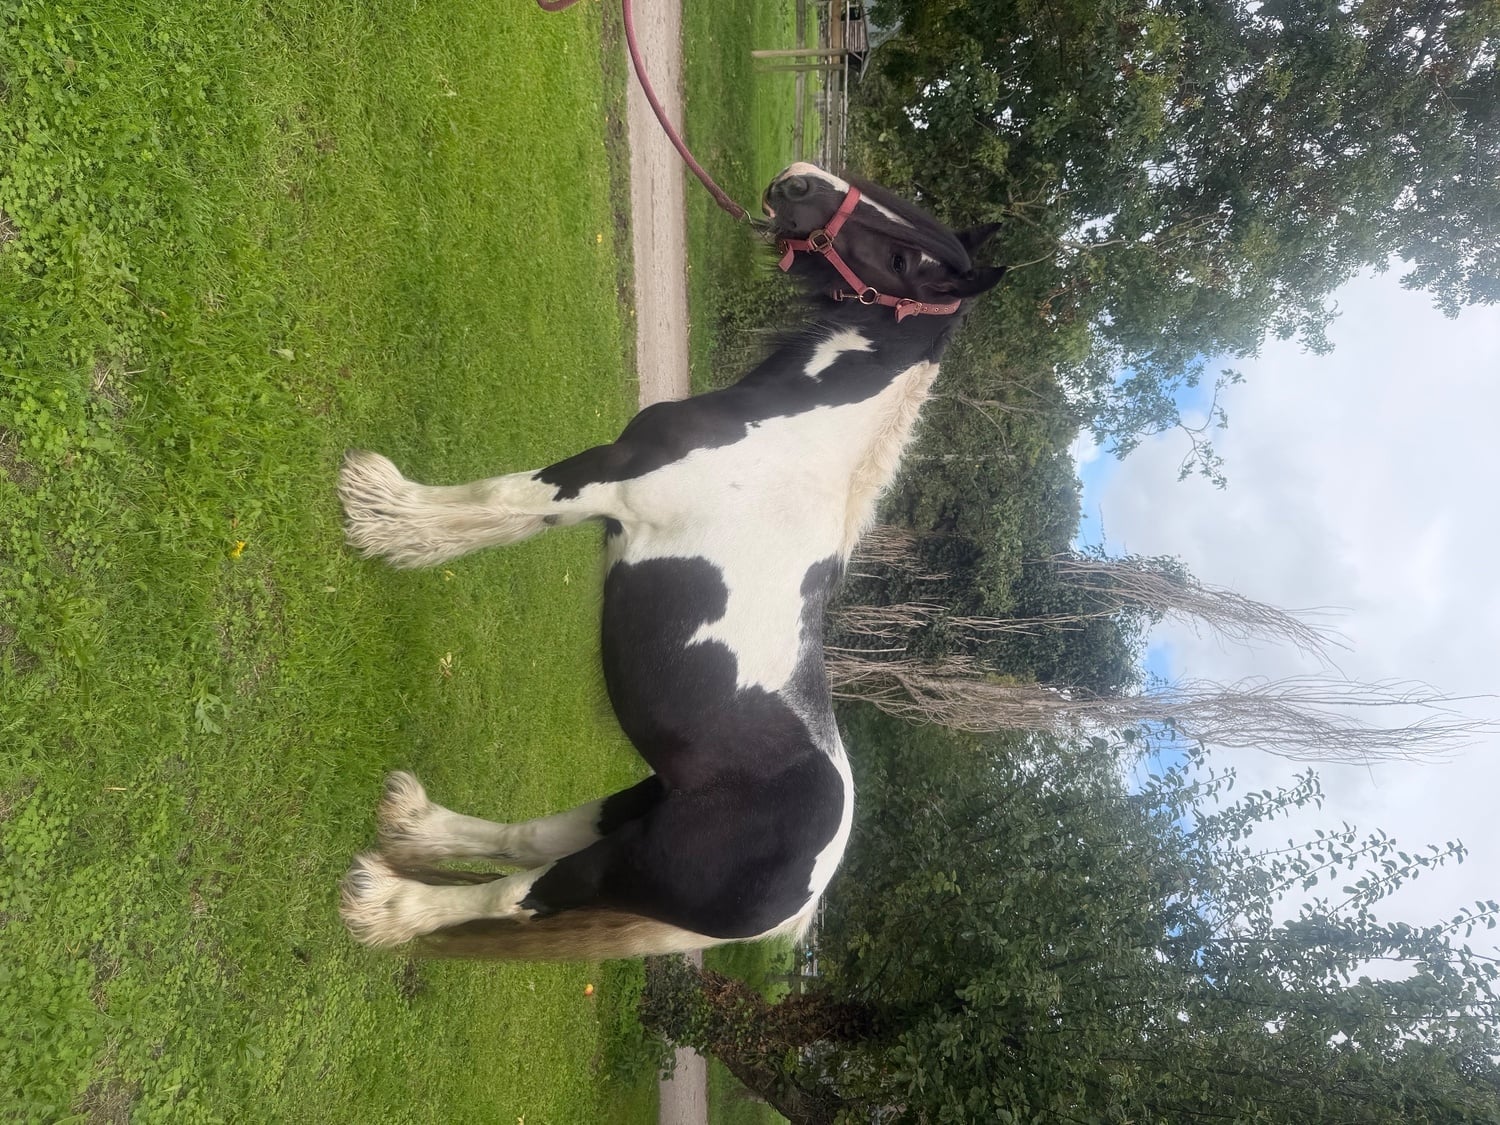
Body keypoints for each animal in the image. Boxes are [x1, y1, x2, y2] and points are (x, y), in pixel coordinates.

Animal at [337, 162, 1003, 958]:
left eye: (907, 260)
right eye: (900, 208)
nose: (798, 182)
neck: (795, 437)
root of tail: (799, 905)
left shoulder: (608, 483)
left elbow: (499, 502)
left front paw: (383, 519)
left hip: (628, 864)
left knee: (520, 894)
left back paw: (388, 906)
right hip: (642, 802)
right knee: (533, 838)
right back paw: (413, 824)